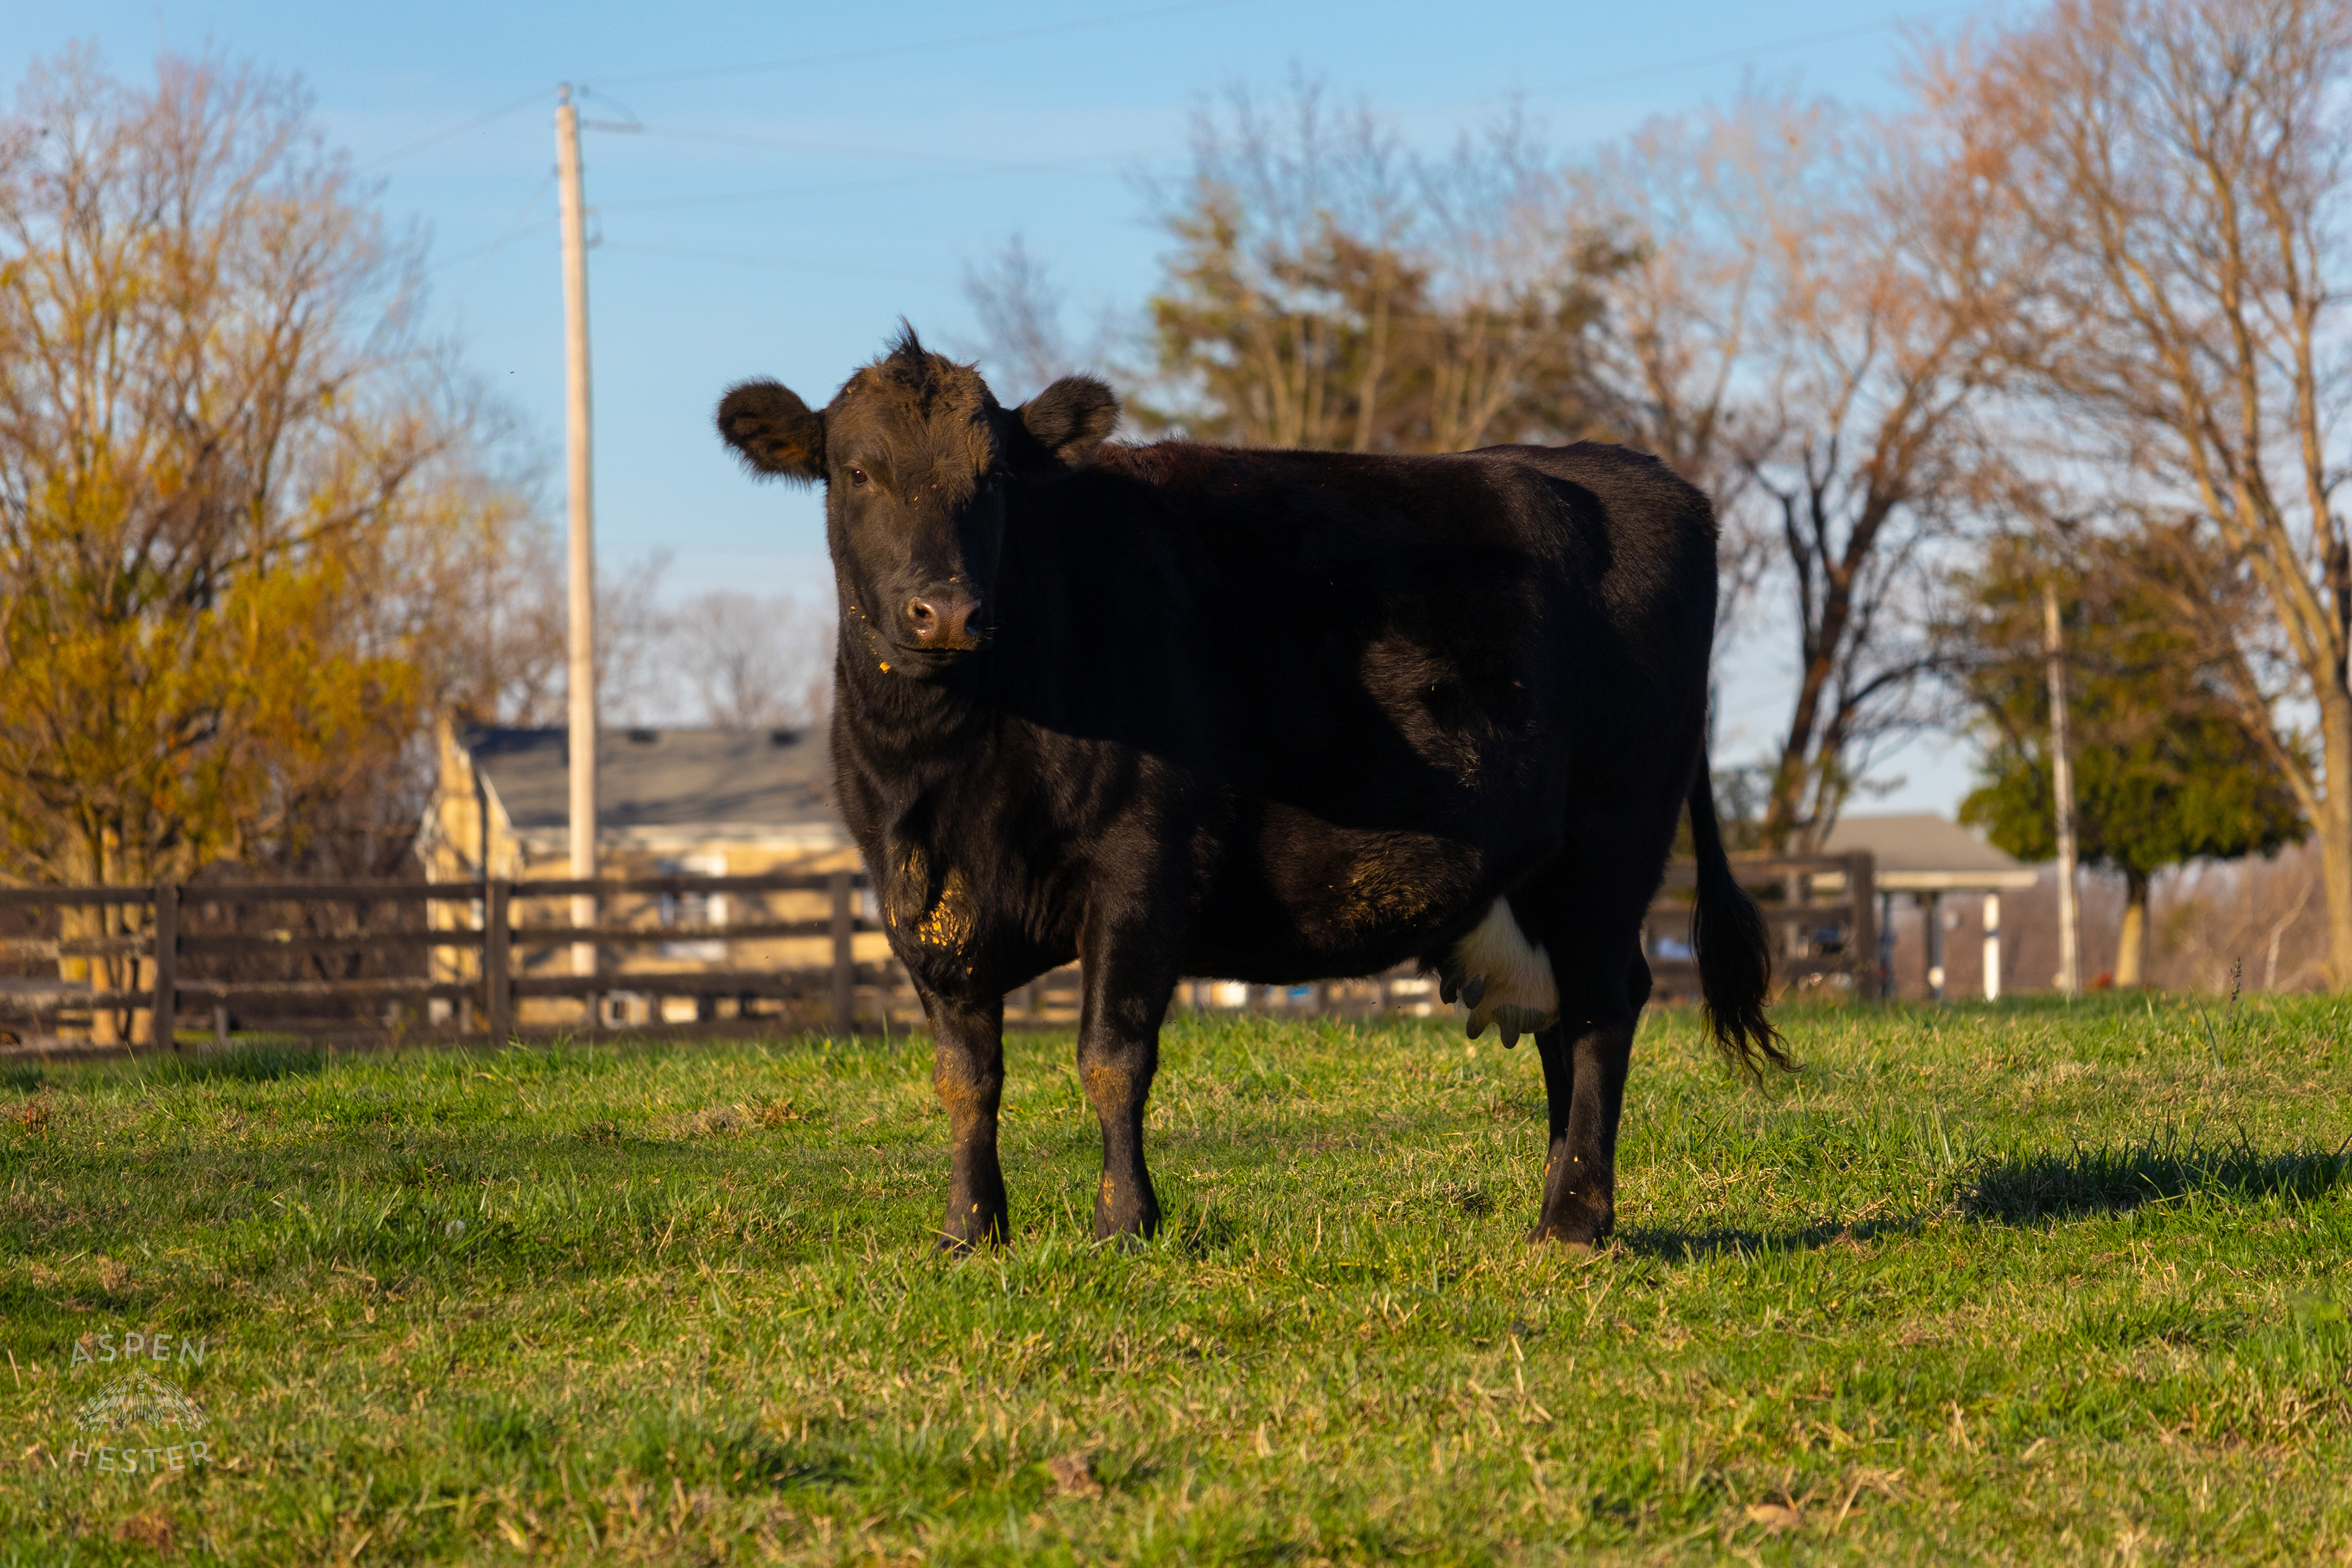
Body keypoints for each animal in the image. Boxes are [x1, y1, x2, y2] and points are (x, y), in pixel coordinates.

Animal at [716, 326, 1784, 1253]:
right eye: (858, 471)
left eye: (995, 479)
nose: (946, 612)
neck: (942, 778)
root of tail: (1634, 469)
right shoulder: (921, 907)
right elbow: (966, 1077)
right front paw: (970, 1232)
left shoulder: (1140, 864)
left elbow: (1111, 1056)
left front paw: (1124, 1224)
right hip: (1543, 875)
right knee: (1568, 1020)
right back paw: (1561, 1207)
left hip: (1612, 843)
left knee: (1606, 1008)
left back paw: (1574, 1222)